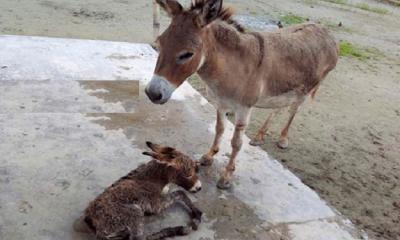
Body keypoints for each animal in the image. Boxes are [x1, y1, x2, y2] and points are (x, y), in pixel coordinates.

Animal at [74, 142, 203, 239]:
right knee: (140, 238)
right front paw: (197, 215)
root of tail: (92, 220)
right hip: (135, 213)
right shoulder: (156, 204)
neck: (153, 178)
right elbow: (181, 193)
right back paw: (180, 229)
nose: (199, 187)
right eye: (188, 173)